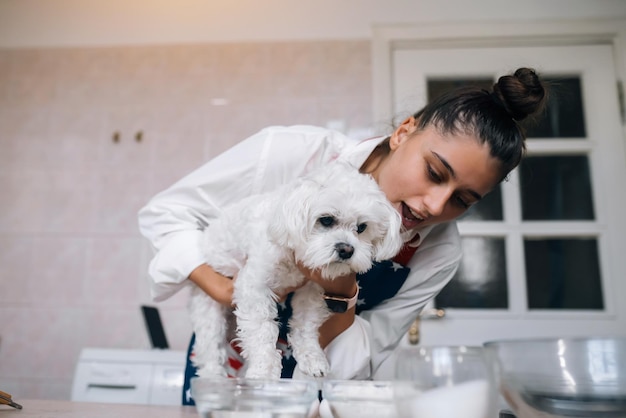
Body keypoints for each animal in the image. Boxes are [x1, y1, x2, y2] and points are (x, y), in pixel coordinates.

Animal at [188, 160, 402, 378]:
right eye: (326, 219)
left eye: (362, 227)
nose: (346, 250)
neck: (294, 257)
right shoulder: (254, 286)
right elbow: (261, 329)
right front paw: (264, 371)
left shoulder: (311, 290)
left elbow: (305, 326)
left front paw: (312, 358)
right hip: (209, 309)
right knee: (210, 350)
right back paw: (213, 376)